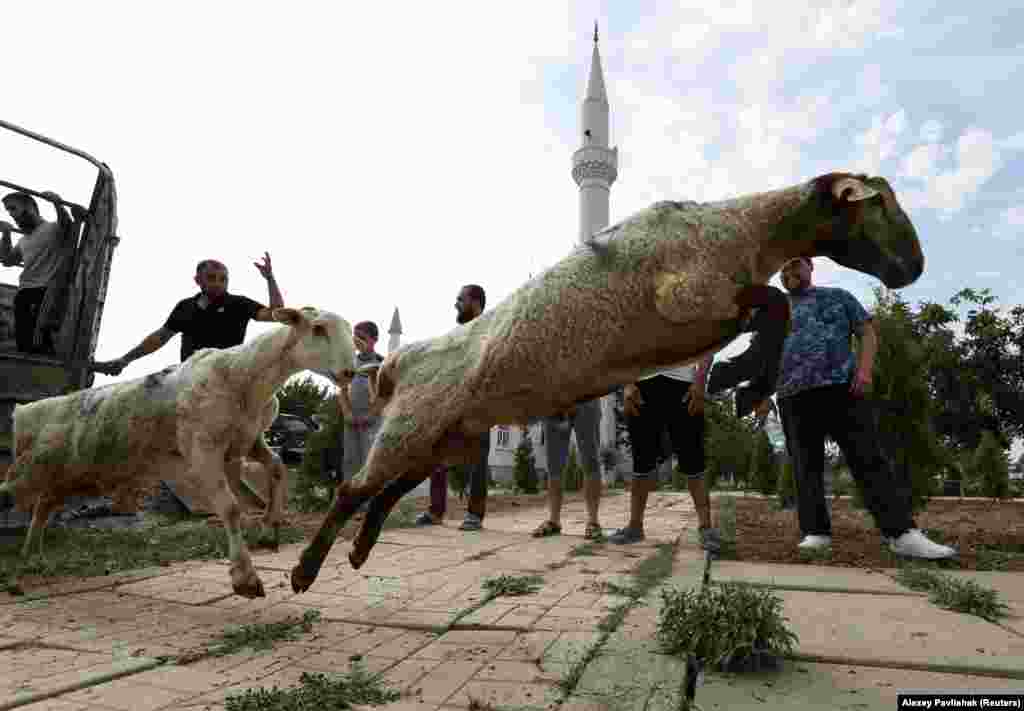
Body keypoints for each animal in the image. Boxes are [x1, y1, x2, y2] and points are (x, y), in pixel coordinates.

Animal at [2, 309, 356, 598]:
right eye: (319, 329)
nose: (350, 372)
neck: (244, 377)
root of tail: (26, 411)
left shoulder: (247, 441)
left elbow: (279, 468)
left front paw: (269, 529)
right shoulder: (202, 449)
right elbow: (230, 508)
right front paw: (245, 578)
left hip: (68, 475)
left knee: (43, 507)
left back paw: (33, 558)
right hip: (30, 469)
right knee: (13, 495)